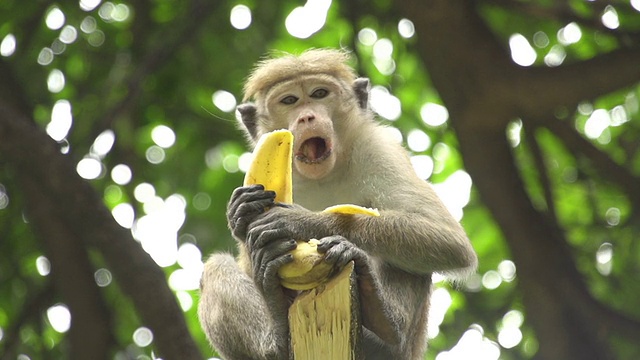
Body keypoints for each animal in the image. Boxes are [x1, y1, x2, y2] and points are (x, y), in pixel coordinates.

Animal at [198, 50, 478, 360]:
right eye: (289, 100)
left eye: (320, 94)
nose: (307, 116)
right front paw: (241, 214)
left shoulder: (379, 148)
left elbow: (447, 239)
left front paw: (305, 222)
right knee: (215, 268)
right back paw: (276, 333)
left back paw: (386, 323)